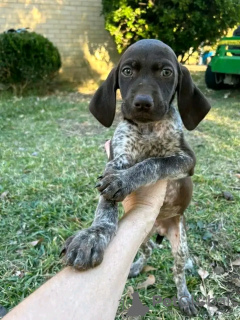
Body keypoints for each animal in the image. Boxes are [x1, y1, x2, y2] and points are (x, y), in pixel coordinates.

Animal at [62, 39, 211, 316]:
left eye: (167, 72)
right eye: (127, 71)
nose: (142, 103)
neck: (147, 128)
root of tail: (160, 225)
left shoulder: (185, 159)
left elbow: (153, 163)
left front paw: (124, 181)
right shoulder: (116, 159)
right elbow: (106, 206)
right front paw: (93, 236)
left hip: (180, 242)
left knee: (178, 271)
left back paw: (184, 296)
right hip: (142, 236)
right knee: (149, 248)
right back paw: (136, 267)